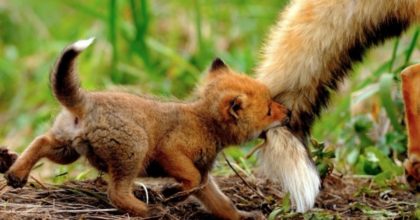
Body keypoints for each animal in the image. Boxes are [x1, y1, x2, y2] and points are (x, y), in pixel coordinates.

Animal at [3, 38, 290, 219]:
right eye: (268, 110)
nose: (288, 112)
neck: (204, 123)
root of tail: (87, 101)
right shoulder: (171, 152)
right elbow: (190, 180)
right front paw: (170, 195)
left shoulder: (205, 178)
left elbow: (221, 204)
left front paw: (243, 216)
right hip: (134, 151)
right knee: (116, 194)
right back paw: (149, 211)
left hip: (66, 150)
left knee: (39, 141)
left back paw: (16, 174)